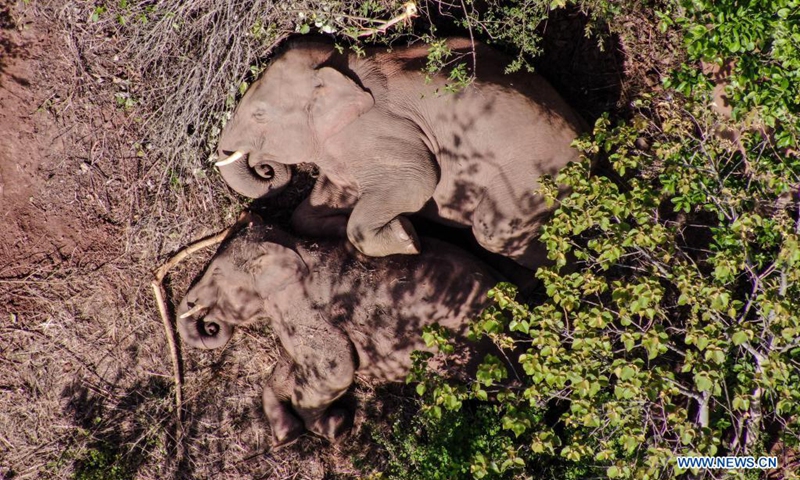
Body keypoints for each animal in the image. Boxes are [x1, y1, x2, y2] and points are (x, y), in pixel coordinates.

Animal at [176, 213, 505, 446]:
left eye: (215, 274)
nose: (210, 323)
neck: (292, 244)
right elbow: (291, 365)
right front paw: (287, 437)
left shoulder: (305, 308)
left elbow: (338, 369)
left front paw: (336, 426)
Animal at [215, 37, 585, 269]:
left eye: (259, 114)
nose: (265, 167)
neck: (340, 68)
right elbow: (310, 210)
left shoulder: (376, 131)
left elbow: (419, 180)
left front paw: (407, 236)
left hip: (534, 176)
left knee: (494, 232)